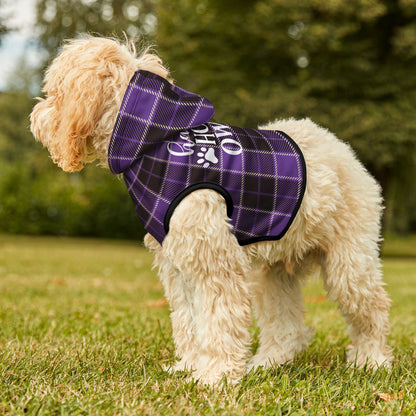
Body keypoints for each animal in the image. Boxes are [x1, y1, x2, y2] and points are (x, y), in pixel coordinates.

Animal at [30, 37, 394, 386]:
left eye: (55, 92)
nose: (35, 117)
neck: (156, 142)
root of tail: (342, 149)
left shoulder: (214, 261)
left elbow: (218, 319)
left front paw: (215, 375)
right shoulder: (178, 264)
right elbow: (189, 320)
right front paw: (191, 366)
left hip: (349, 263)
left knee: (372, 310)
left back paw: (372, 360)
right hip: (273, 273)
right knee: (287, 326)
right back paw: (268, 362)